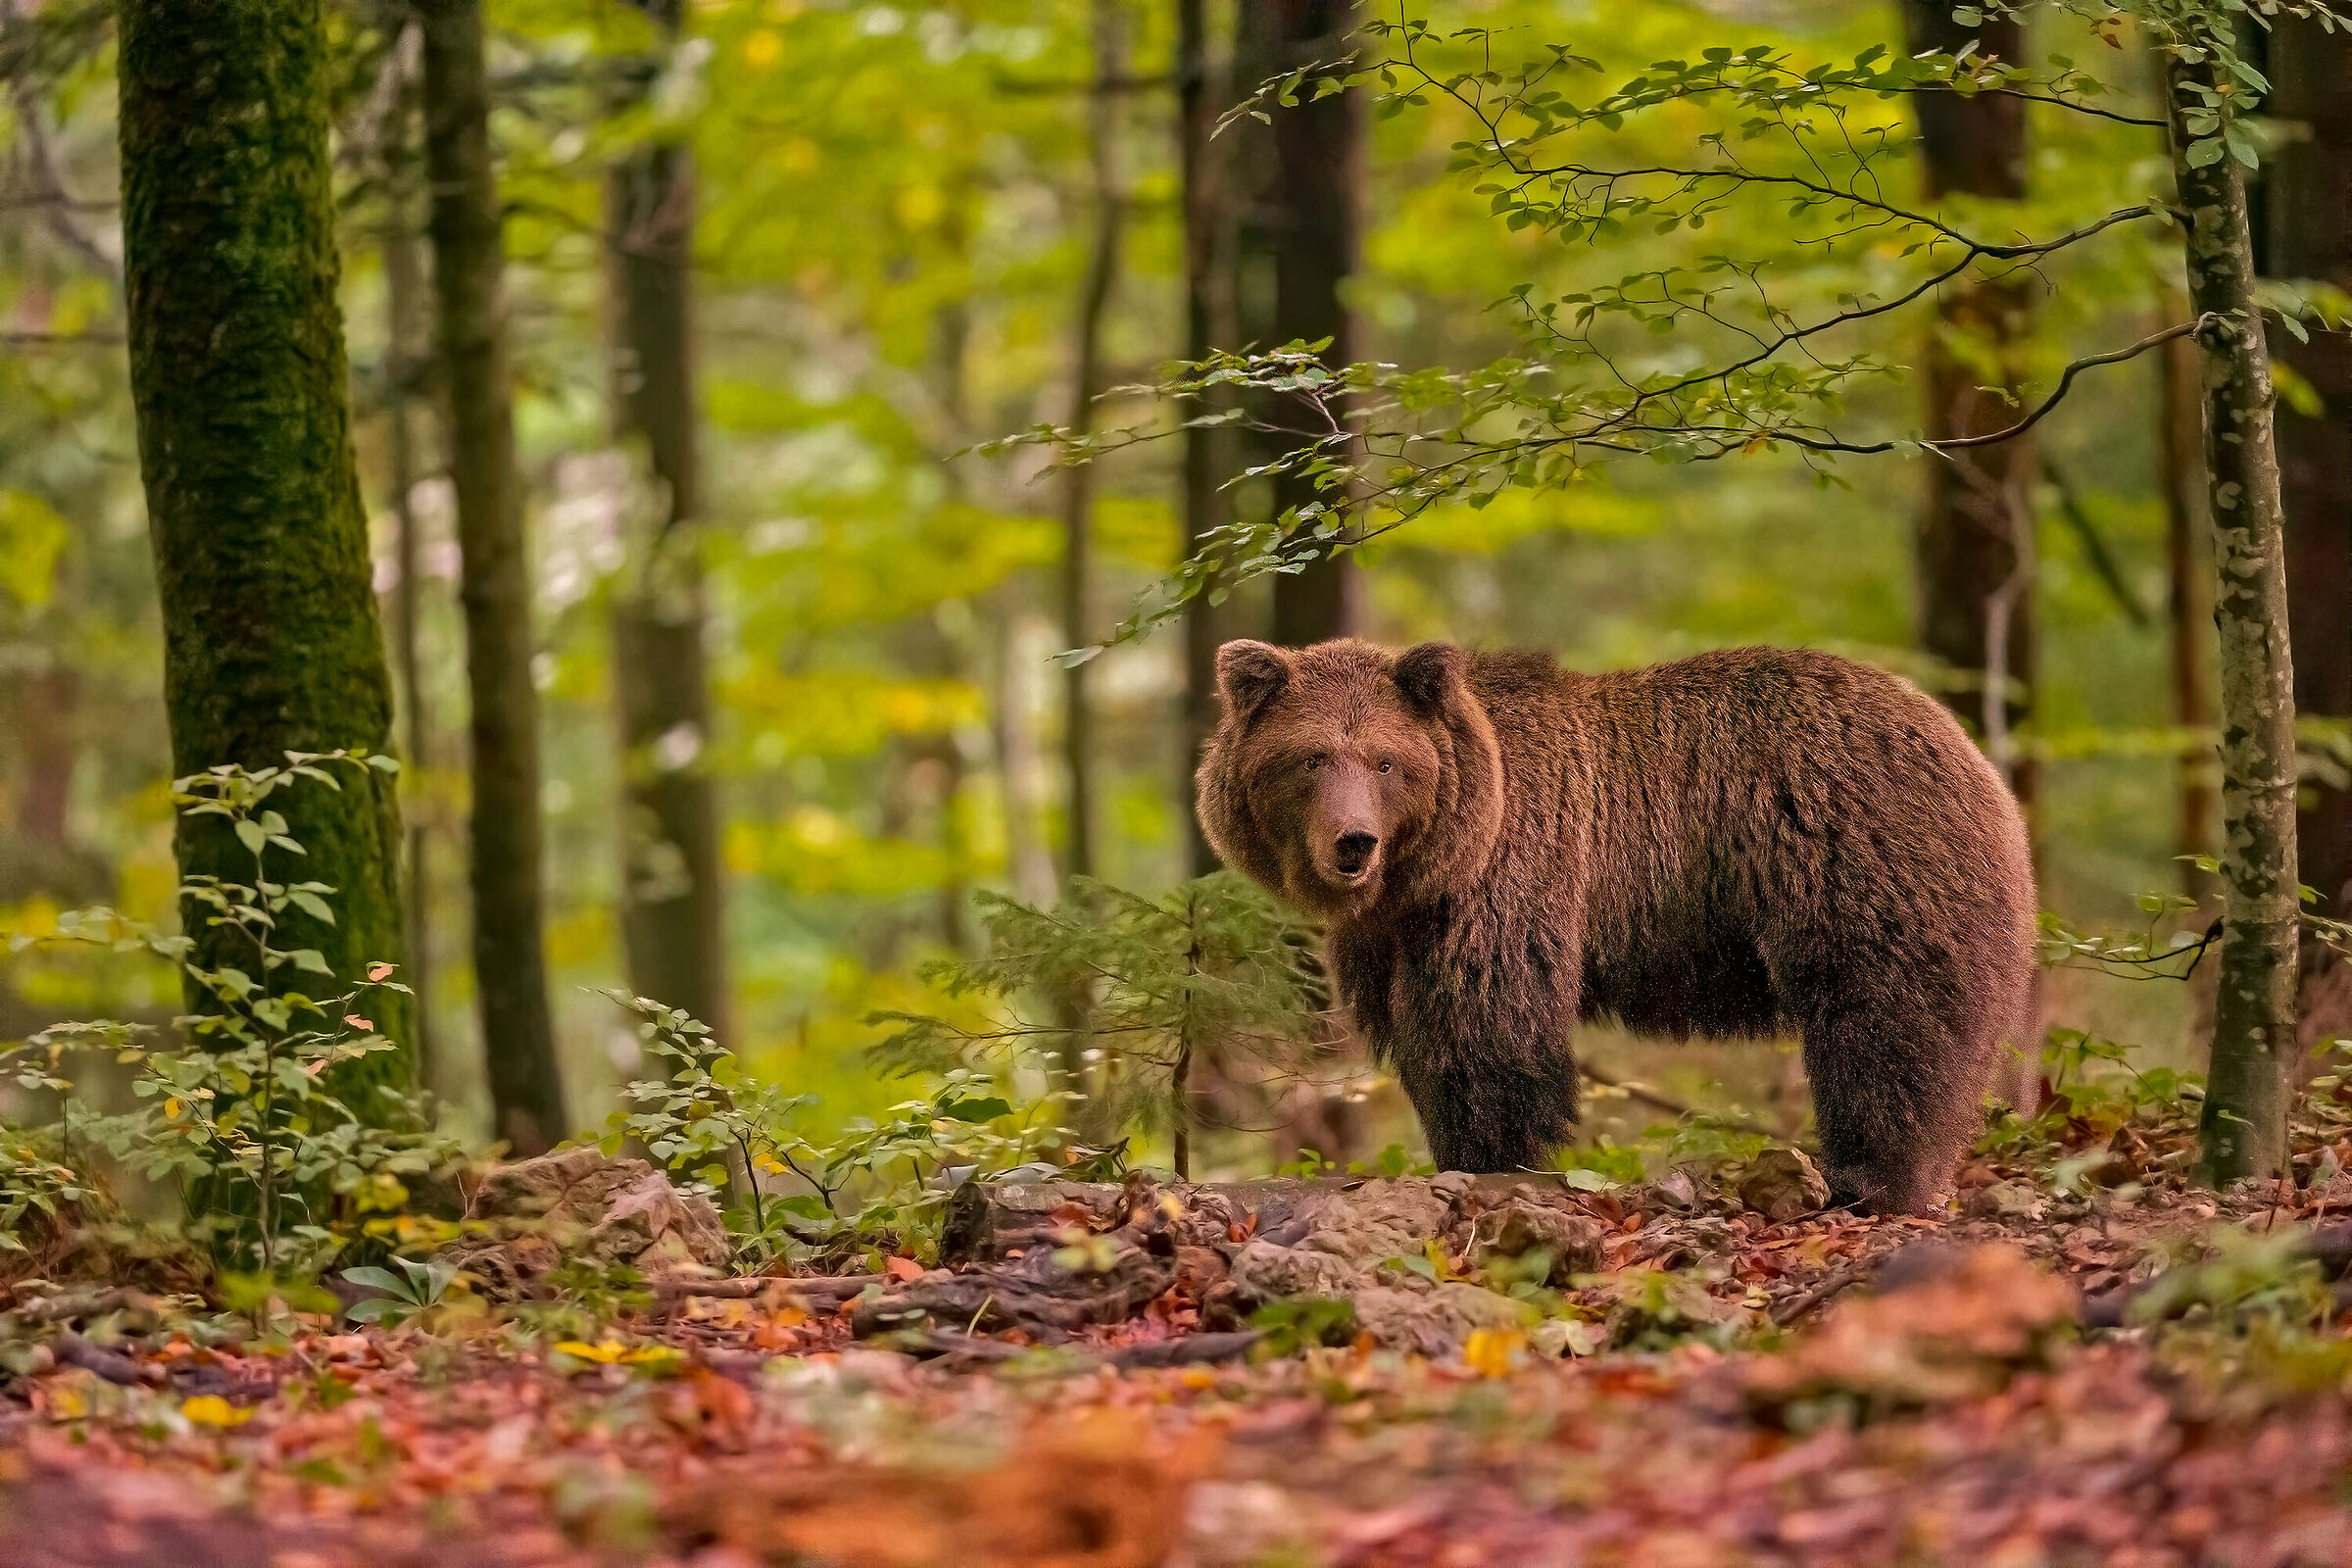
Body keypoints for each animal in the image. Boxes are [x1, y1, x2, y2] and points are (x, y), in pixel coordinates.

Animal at [1194, 637, 2038, 1214]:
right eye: (1309, 758)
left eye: (1384, 761)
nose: (1353, 842)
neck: (1428, 868)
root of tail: (1963, 744)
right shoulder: (1392, 935)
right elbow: (1424, 1039)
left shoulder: (1515, 873)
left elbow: (1487, 1030)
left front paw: (1499, 1158)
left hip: (1860, 863)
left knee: (1888, 1023)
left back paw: (1872, 1177)